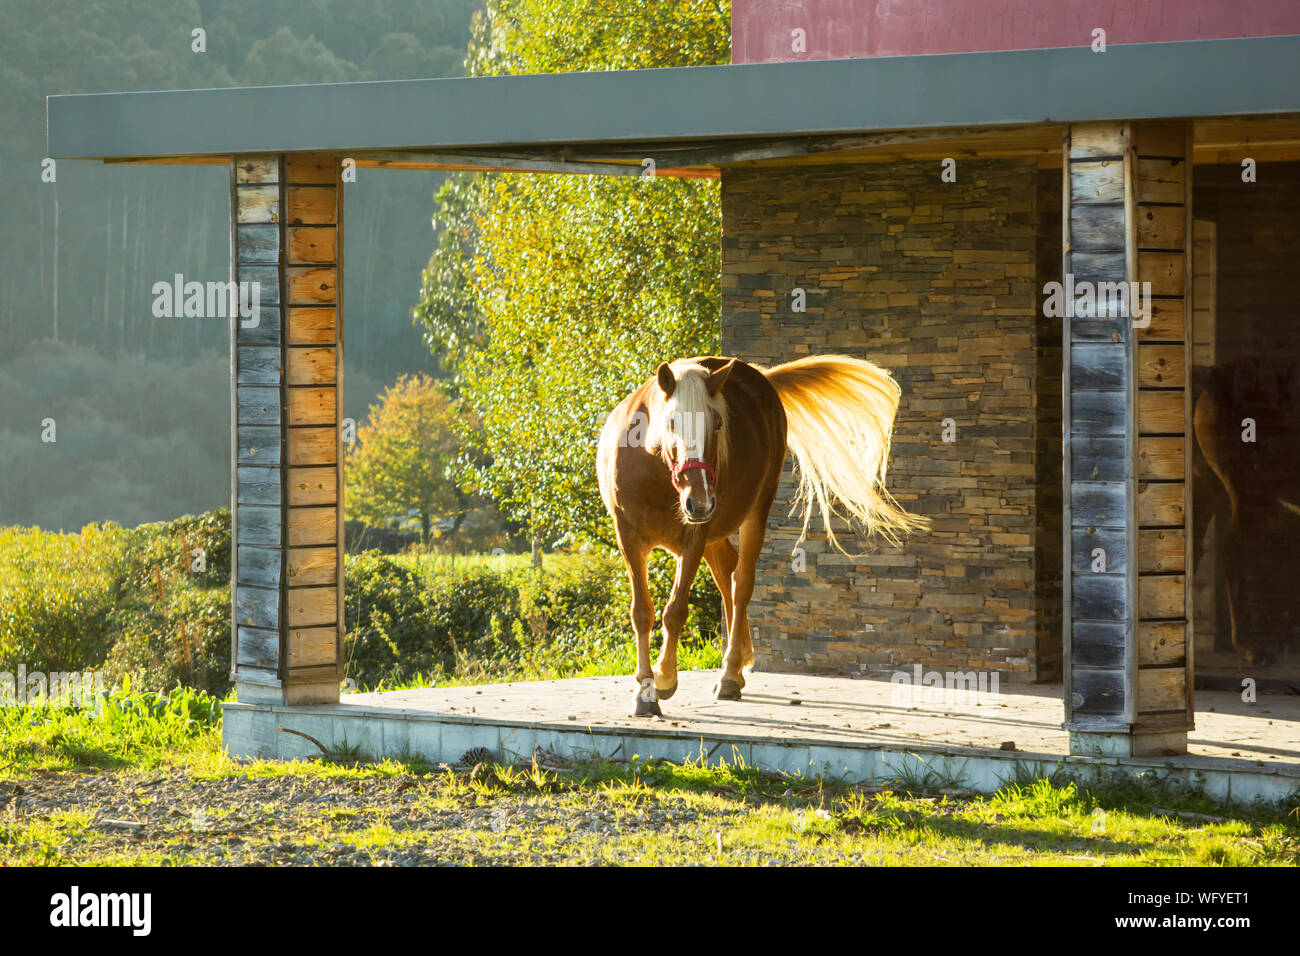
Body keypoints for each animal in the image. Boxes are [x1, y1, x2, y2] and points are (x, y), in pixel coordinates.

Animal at [596, 354, 928, 717]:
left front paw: (665, 678)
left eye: (717, 424)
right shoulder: (628, 537)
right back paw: (737, 664)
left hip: (751, 513)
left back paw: (730, 674)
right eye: (671, 423)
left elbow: (675, 611)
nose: (701, 501)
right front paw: (645, 691)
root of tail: (761, 378)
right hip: (712, 533)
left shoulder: (694, 536)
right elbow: (642, 613)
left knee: (740, 585)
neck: (654, 472)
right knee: (727, 577)